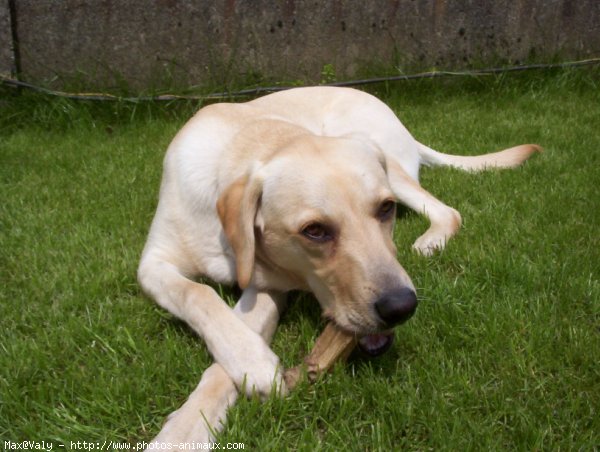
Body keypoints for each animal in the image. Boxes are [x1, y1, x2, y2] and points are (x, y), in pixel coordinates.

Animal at [138, 86, 540, 444]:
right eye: (314, 231)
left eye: (385, 209)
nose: (401, 306)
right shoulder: (152, 265)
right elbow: (198, 294)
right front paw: (243, 368)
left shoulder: (269, 286)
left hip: (389, 165)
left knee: (448, 211)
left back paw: (430, 240)